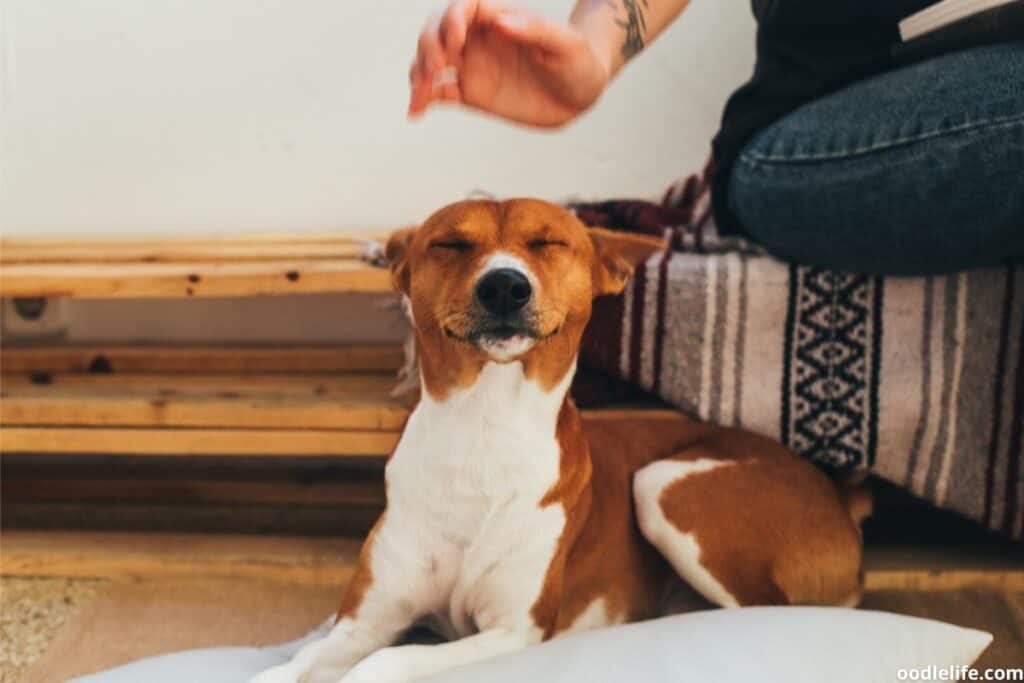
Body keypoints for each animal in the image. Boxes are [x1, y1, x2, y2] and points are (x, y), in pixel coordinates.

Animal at [253, 197, 864, 683]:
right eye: (449, 244)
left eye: (550, 242)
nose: (504, 284)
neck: (484, 430)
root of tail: (840, 495)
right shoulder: (363, 621)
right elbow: (293, 665)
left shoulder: (515, 630)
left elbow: (385, 661)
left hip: (662, 484)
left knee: (761, 613)